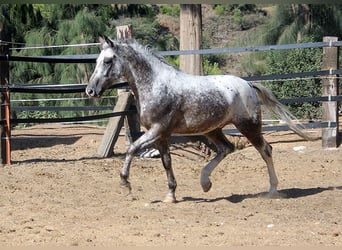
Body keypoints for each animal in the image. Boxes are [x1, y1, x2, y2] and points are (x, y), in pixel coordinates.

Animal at [85, 36, 312, 202]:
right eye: (96, 61)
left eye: (108, 61)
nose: (90, 90)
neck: (155, 84)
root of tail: (248, 84)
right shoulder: (162, 136)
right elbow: (167, 162)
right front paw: (171, 195)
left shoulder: (157, 130)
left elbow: (132, 149)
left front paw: (125, 184)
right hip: (213, 129)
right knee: (227, 148)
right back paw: (205, 183)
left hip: (248, 126)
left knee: (266, 150)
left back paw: (273, 191)